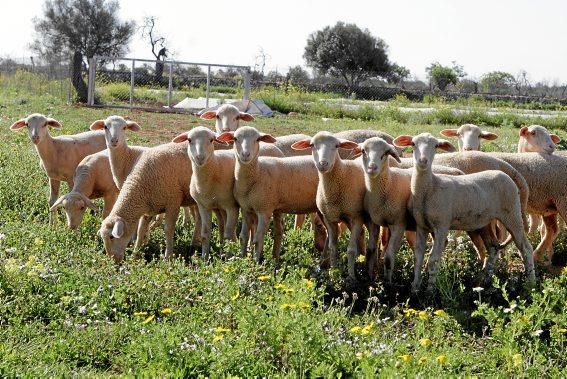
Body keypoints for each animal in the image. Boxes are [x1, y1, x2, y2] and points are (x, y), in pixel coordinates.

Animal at [392, 134, 536, 294]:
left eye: (436, 146)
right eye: (413, 144)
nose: (423, 161)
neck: (430, 187)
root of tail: (505, 175)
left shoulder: (442, 225)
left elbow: (433, 260)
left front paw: (430, 291)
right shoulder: (422, 226)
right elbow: (418, 258)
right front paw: (415, 289)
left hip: (512, 214)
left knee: (526, 248)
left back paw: (530, 285)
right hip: (485, 221)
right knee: (493, 247)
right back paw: (485, 281)